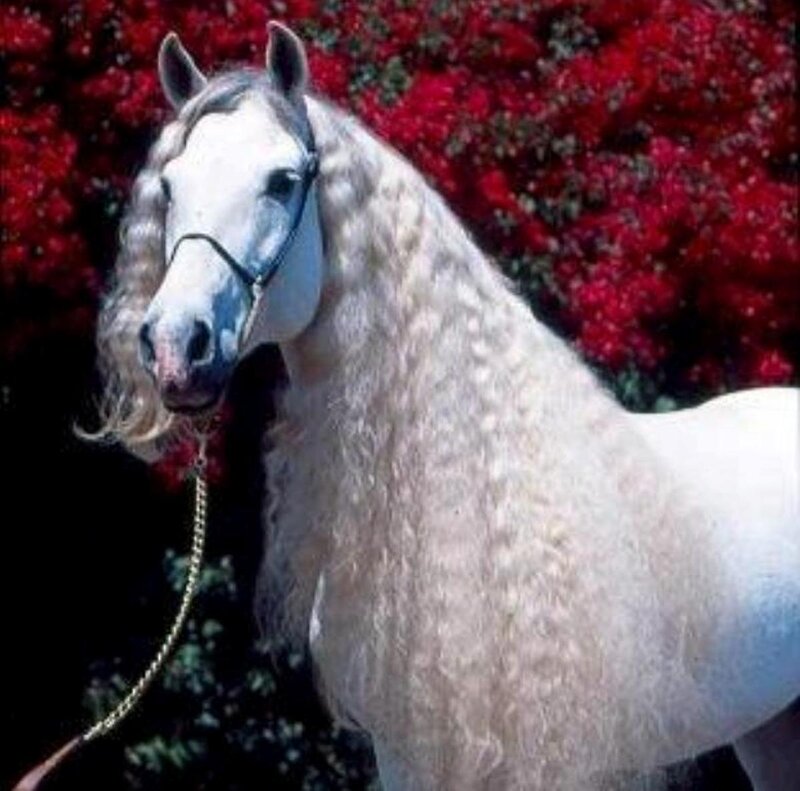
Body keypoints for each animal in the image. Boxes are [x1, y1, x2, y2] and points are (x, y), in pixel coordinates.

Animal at [92, 22, 800, 791]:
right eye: (170, 185)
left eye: (282, 182)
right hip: (770, 728)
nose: (174, 345)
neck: (469, 489)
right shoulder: (406, 752)